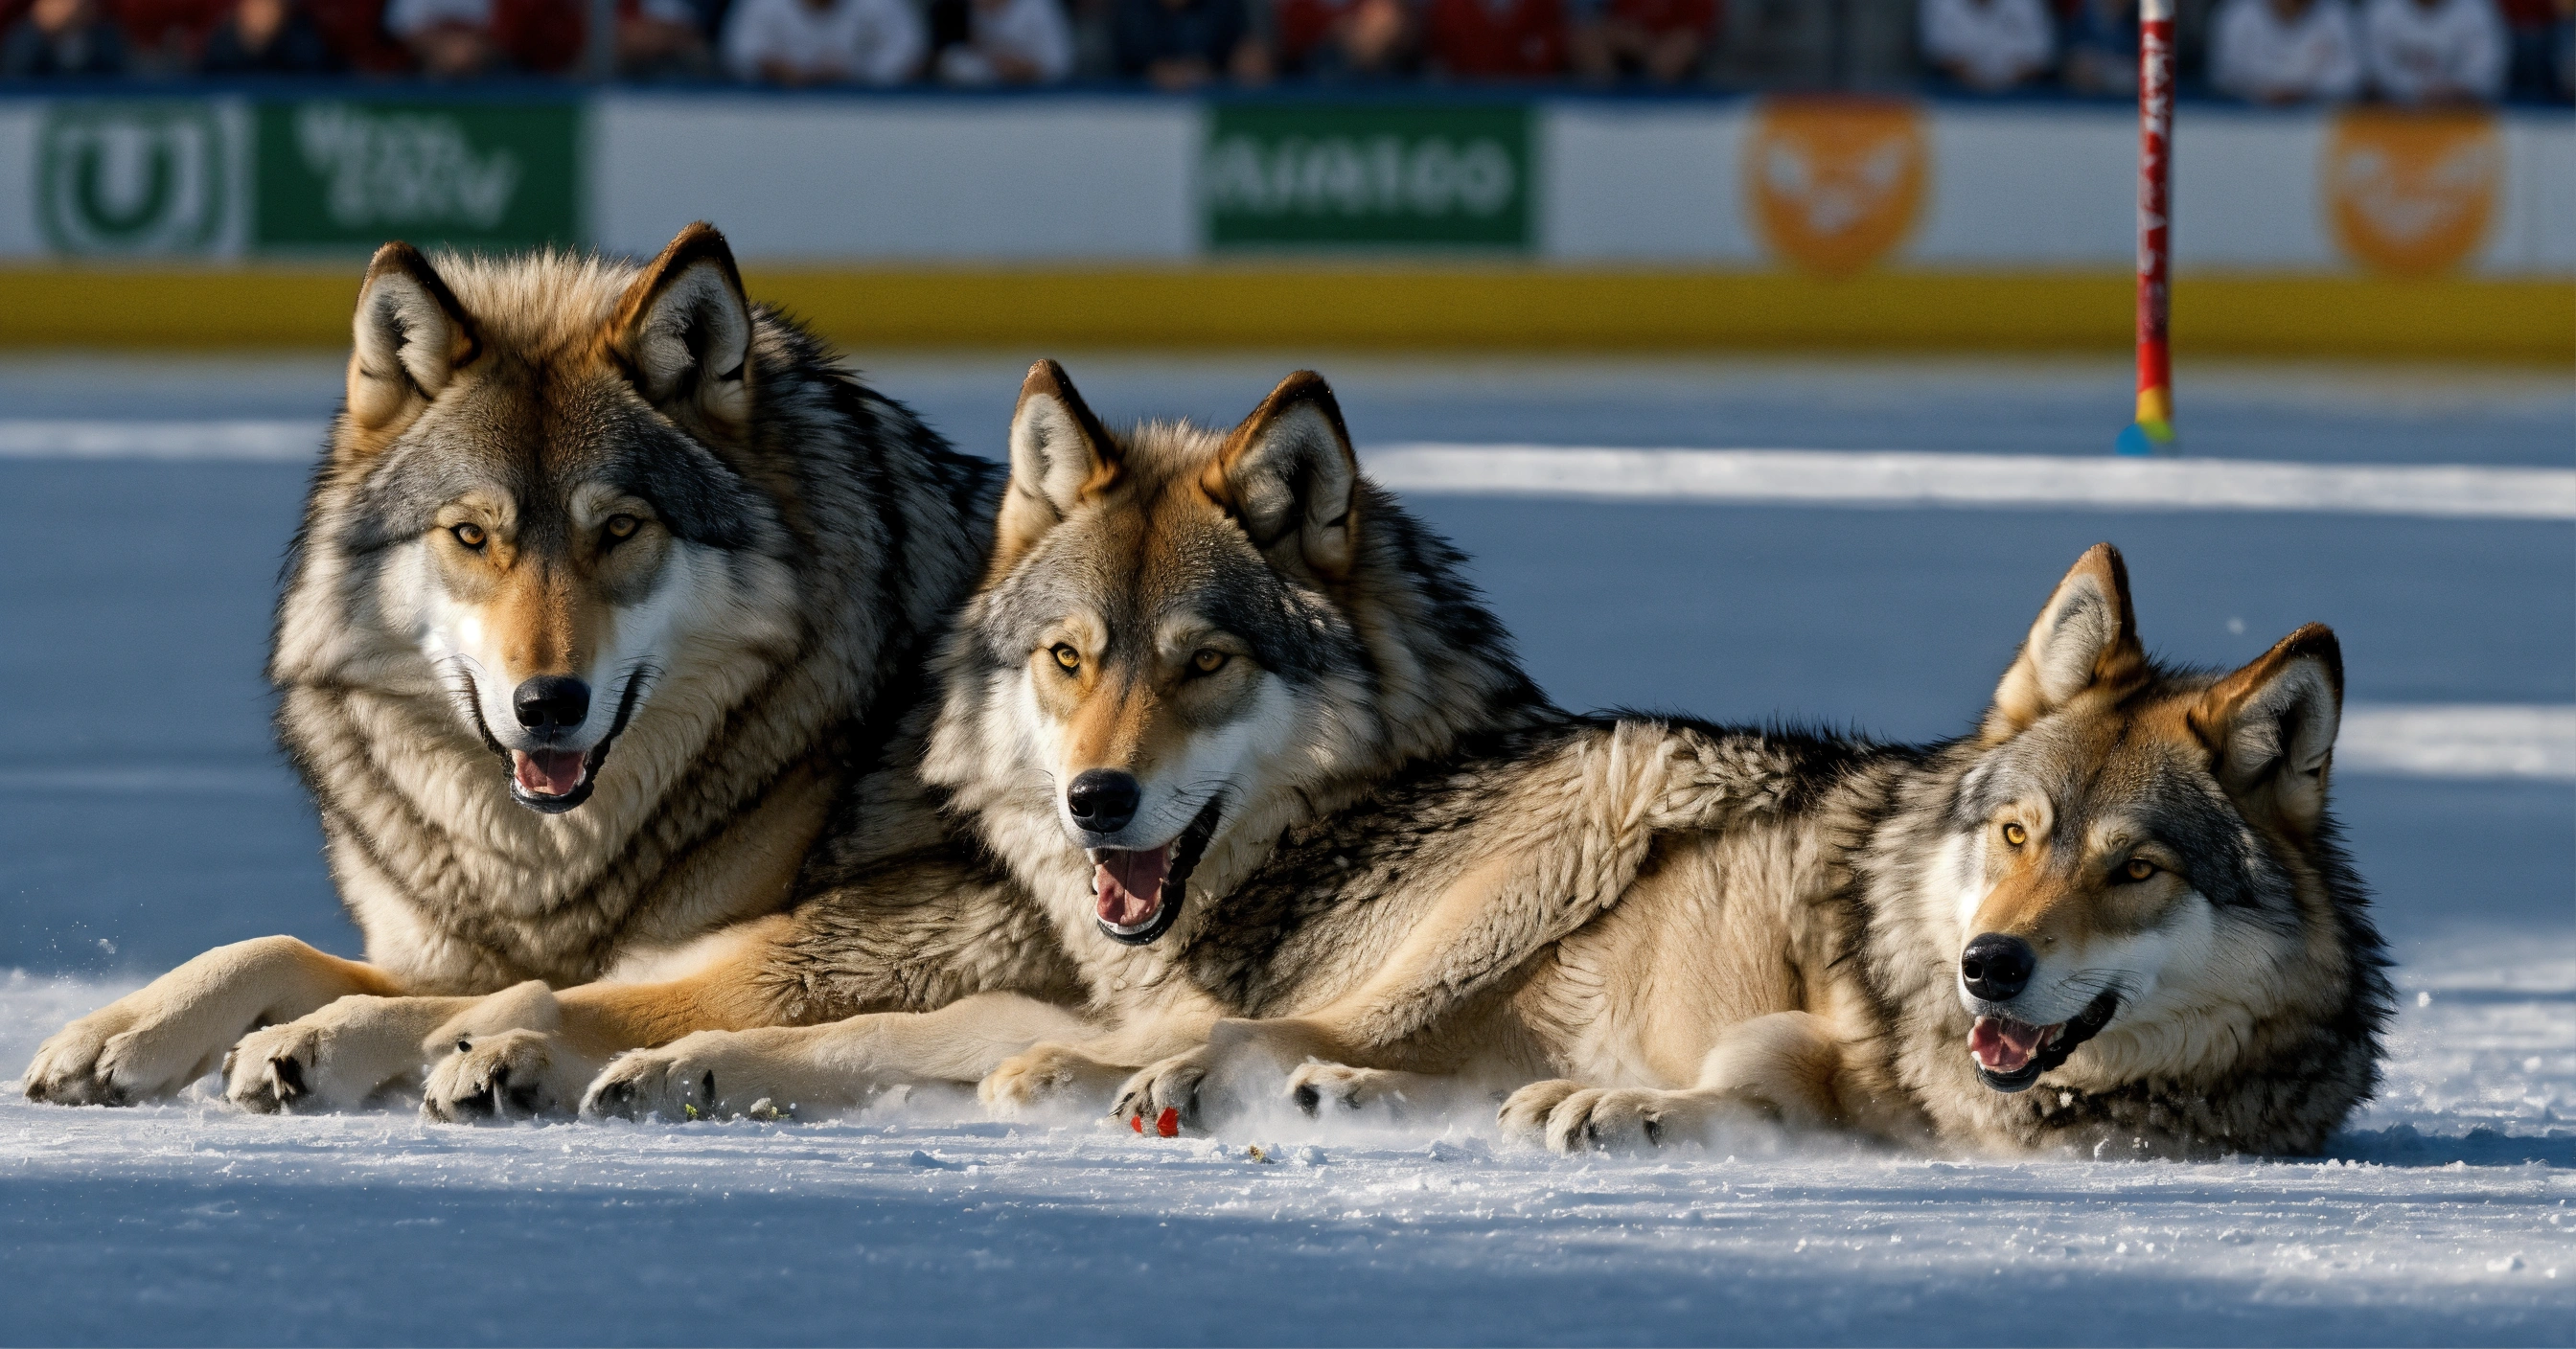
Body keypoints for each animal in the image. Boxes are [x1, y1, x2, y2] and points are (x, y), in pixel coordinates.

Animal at [20, 223, 999, 1111]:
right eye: (470, 534)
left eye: (619, 528)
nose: (547, 704)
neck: (544, 862)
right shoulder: (434, 952)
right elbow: (272, 948)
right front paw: (124, 1027)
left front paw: (332, 1039)